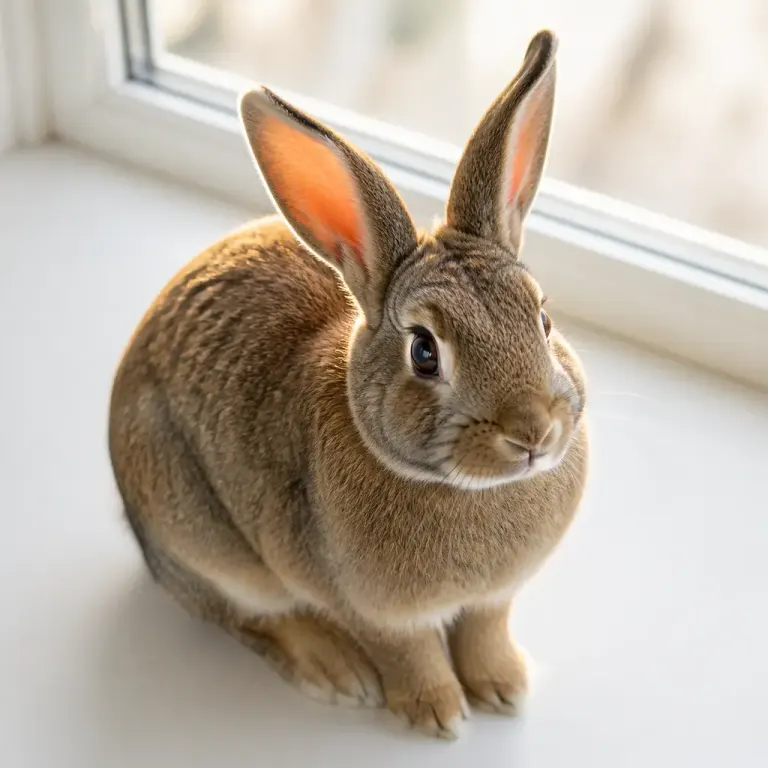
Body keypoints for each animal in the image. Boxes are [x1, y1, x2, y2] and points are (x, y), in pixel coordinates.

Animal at [109, 29, 588, 739]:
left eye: (543, 317)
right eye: (424, 352)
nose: (532, 431)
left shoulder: (493, 600)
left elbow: (484, 631)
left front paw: (504, 688)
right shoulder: (373, 610)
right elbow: (409, 652)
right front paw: (439, 714)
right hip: (205, 541)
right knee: (248, 616)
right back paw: (335, 671)